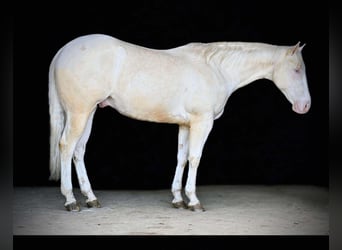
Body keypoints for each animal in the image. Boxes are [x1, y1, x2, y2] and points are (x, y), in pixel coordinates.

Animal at [48, 34, 310, 212]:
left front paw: (177, 199)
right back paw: (70, 200)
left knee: (79, 150)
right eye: (297, 70)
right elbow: (195, 158)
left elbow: (181, 158)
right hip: (80, 112)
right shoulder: (202, 122)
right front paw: (193, 200)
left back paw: (91, 198)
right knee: (66, 146)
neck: (214, 69)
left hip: (89, 112)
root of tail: (62, 51)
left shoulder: (186, 125)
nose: (305, 106)